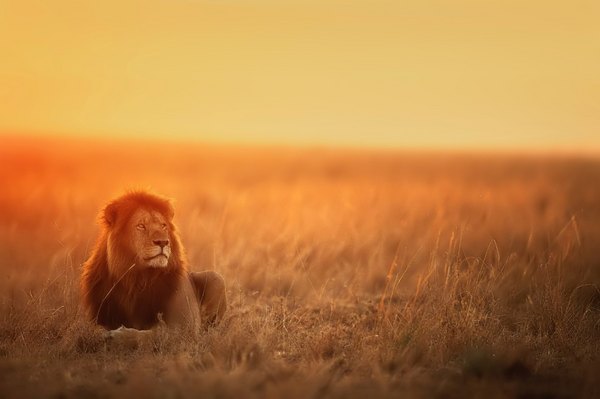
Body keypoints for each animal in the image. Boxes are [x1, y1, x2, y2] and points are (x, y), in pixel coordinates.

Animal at [81, 190, 226, 332]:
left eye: (163, 226)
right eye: (141, 226)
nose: (163, 242)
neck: (136, 279)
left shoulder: (182, 326)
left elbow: (149, 333)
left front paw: (120, 333)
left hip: (215, 278)